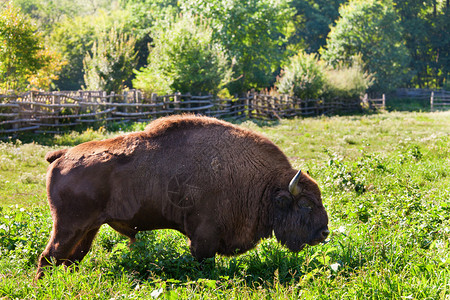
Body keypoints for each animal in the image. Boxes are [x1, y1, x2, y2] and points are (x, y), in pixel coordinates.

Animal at [35, 114, 328, 278]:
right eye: (305, 204)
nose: (324, 232)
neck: (262, 183)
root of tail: (62, 155)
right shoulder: (204, 238)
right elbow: (203, 263)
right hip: (69, 225)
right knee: (49, 257)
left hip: (89, 228)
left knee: (70, 259)